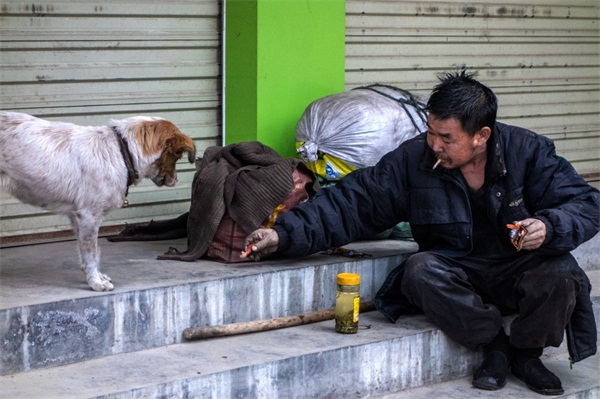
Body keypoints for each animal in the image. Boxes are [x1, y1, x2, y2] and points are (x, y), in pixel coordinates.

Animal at [0, 111, 196, 292]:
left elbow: (87, 255)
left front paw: (95, 276)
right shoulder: (89, 216)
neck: (121, 151)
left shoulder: (78, 217)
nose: (176, 180)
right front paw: (95, 282)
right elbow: (91, 253)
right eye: (177, 157)